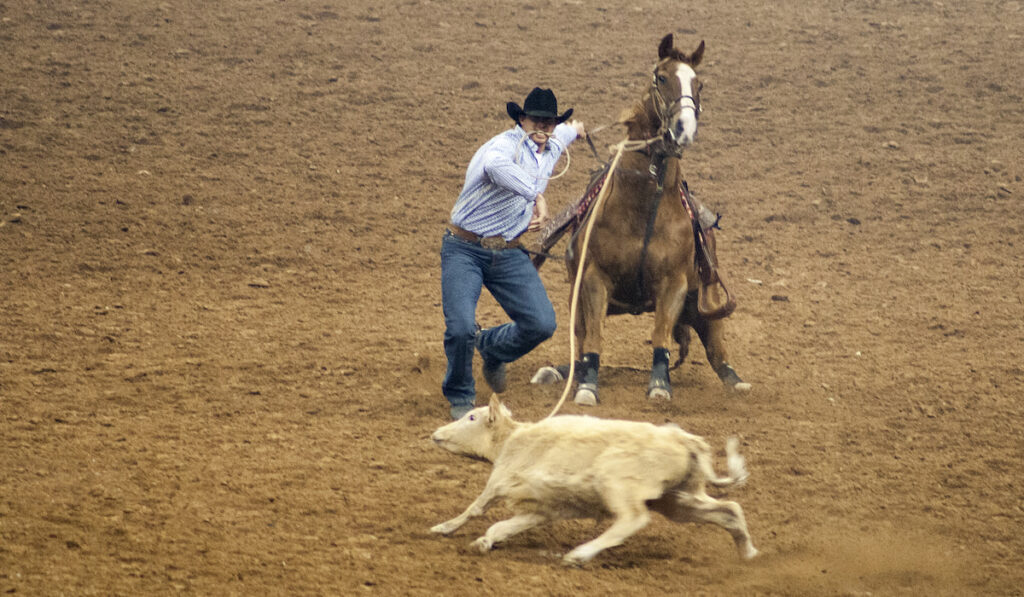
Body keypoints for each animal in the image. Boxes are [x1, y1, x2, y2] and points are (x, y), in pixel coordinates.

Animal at [428, 397, 757, 565]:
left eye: (471, 417)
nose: (435, 433)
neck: (512, 438)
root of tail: (685, 440)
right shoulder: (542, 509)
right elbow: (502, 526)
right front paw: (484, 542)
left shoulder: (498, 483)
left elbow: (475, 509)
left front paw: (442, 528)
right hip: (677, 500)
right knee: (730, 509)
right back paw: (748, 553)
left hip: (619, 484)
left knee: (633, 519)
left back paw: (580, 555)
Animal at [536, 33, 745, 405]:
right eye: (661, 78)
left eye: (699, 84)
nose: (683, 129)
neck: (644, 206)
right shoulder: (594, 278)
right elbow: (594, 338)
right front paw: (587, 386)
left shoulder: (674, 284)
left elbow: (661, 334)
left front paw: (660, 385)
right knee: (579, 344)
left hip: (704, 303)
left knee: (717, 351)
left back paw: (736, 384)